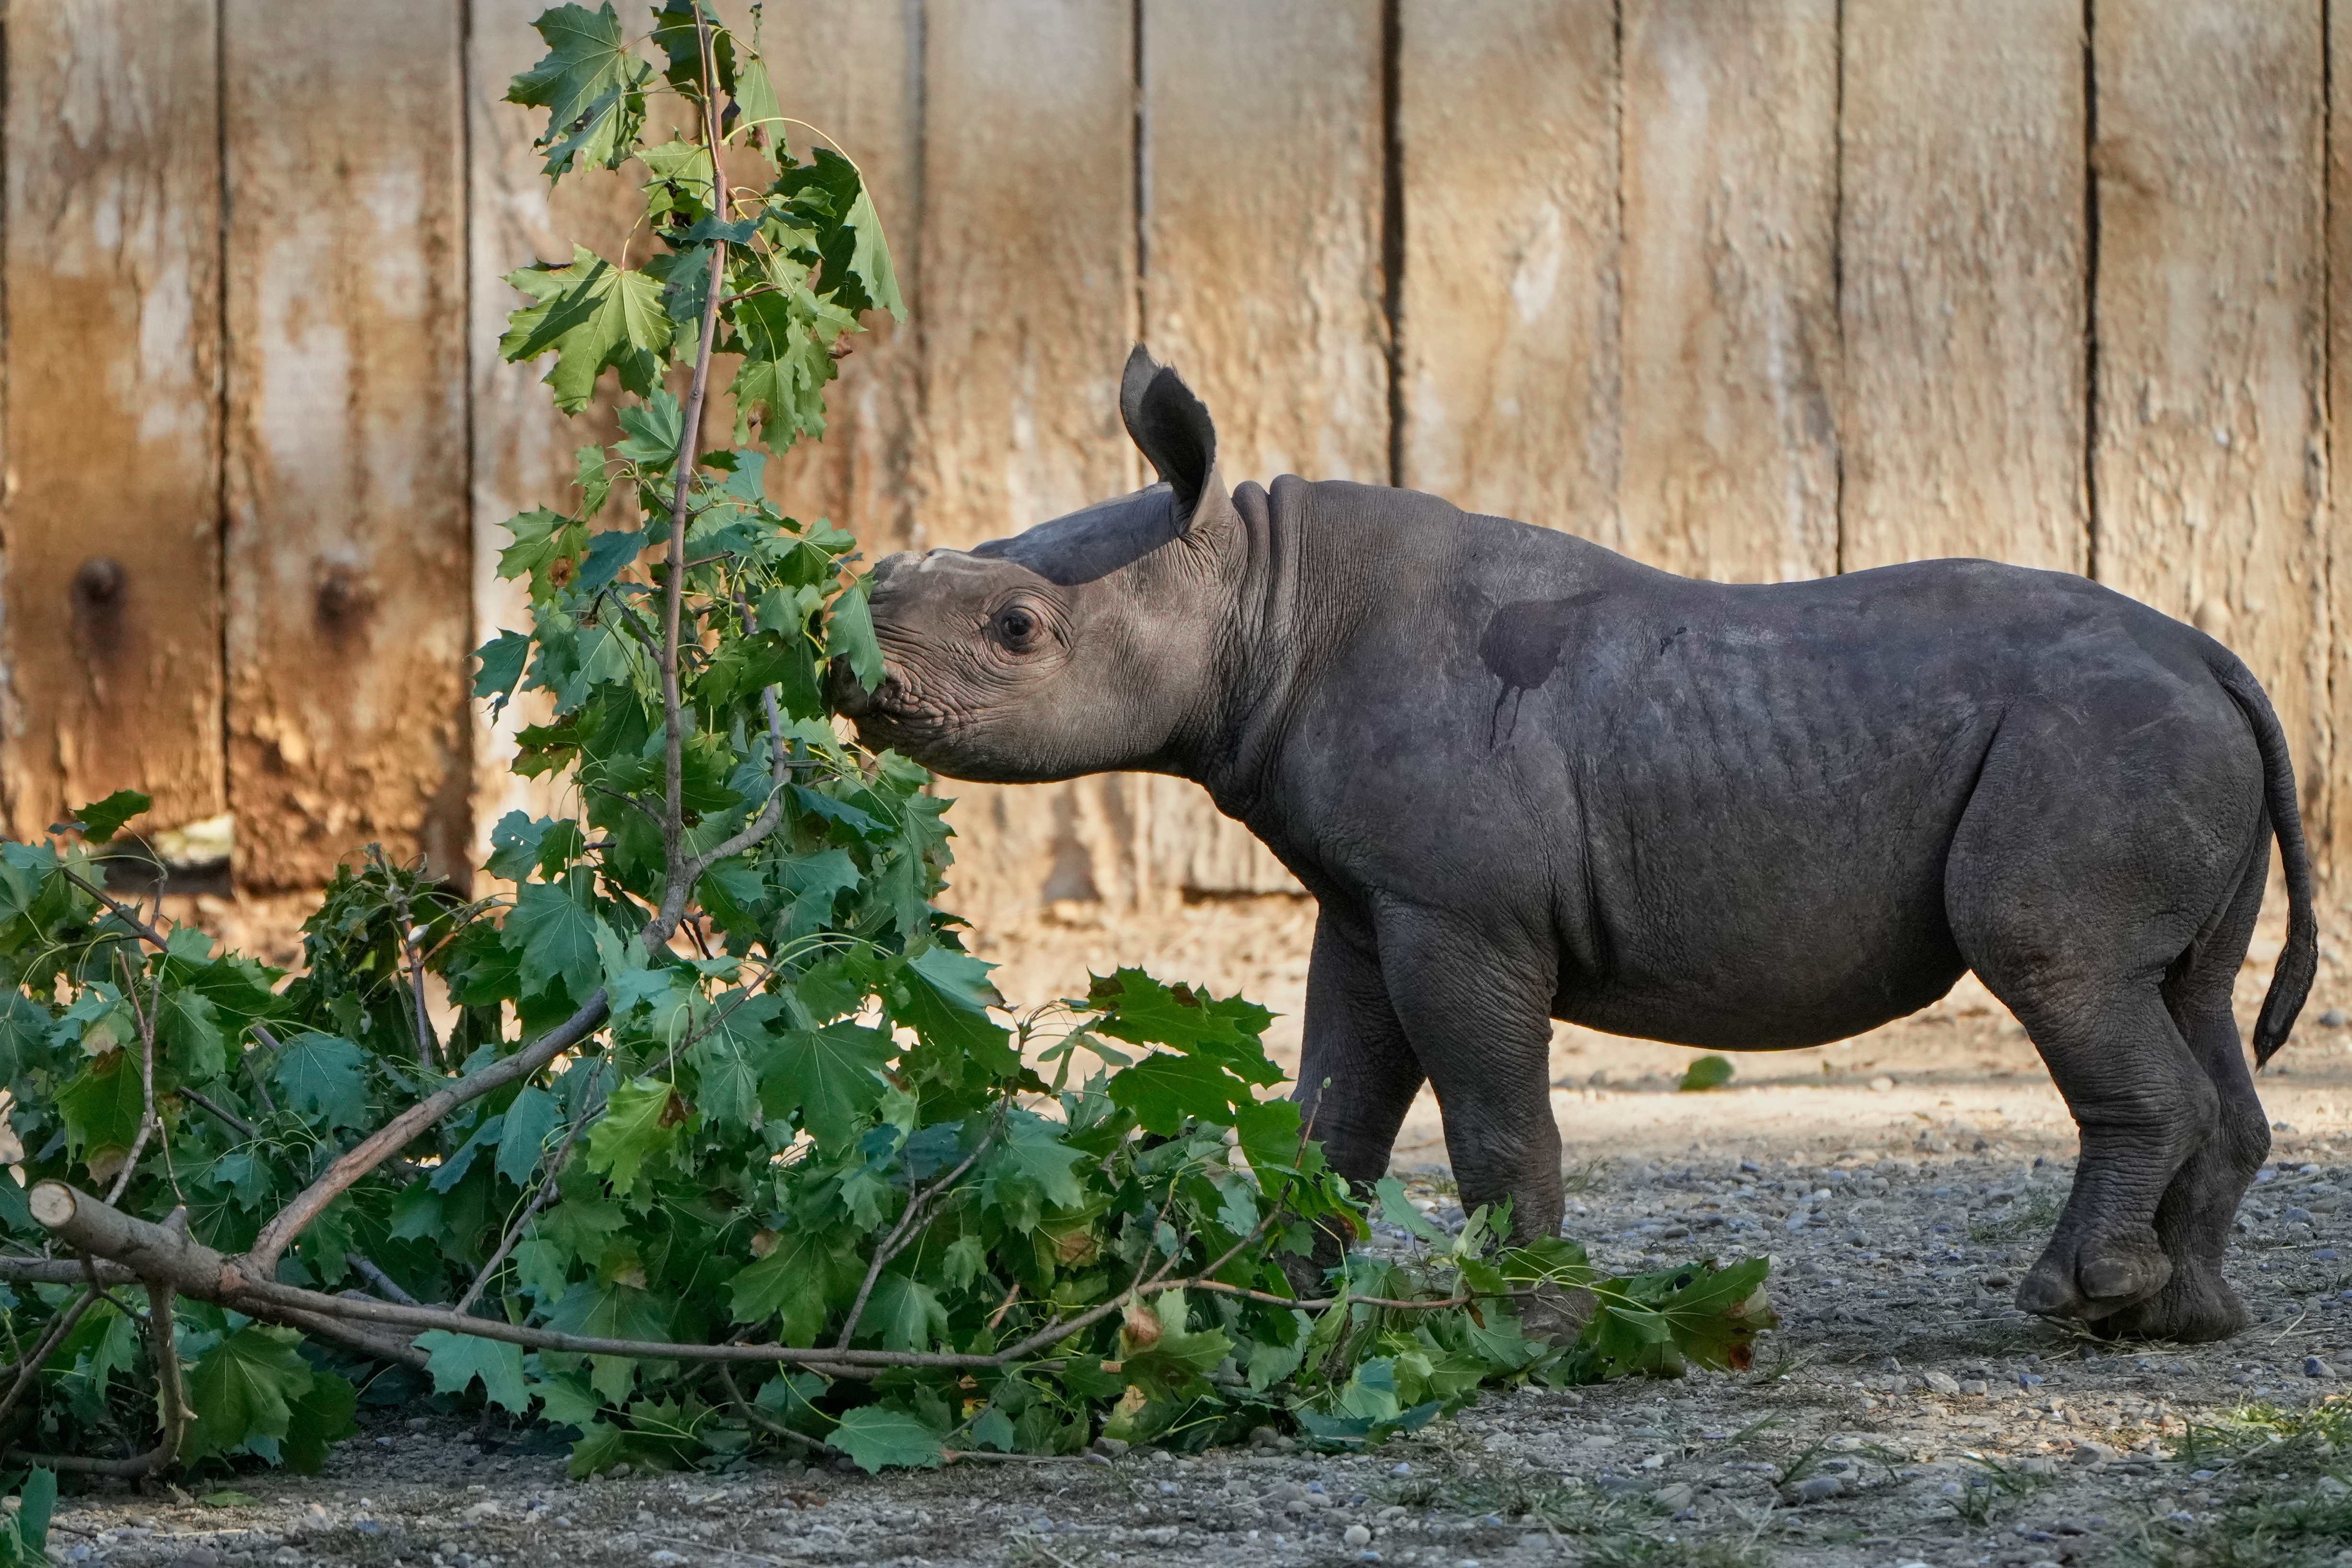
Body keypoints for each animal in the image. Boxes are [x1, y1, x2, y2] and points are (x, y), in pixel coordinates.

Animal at [834, 347, 2318, 1343]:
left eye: (1018, 628)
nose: (853, 665)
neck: (1258, 588)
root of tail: (2215, 654)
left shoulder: (1460, 912)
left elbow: (1494, 1117)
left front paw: (1521, 1323)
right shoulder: (1373, 903)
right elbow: (1333, 1109)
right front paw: (1284, 1305)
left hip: (2091, 738)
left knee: (2056, 961)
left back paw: (2071, 1299)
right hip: (2163, 732)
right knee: (2182, 992)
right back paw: (2179, 1319)